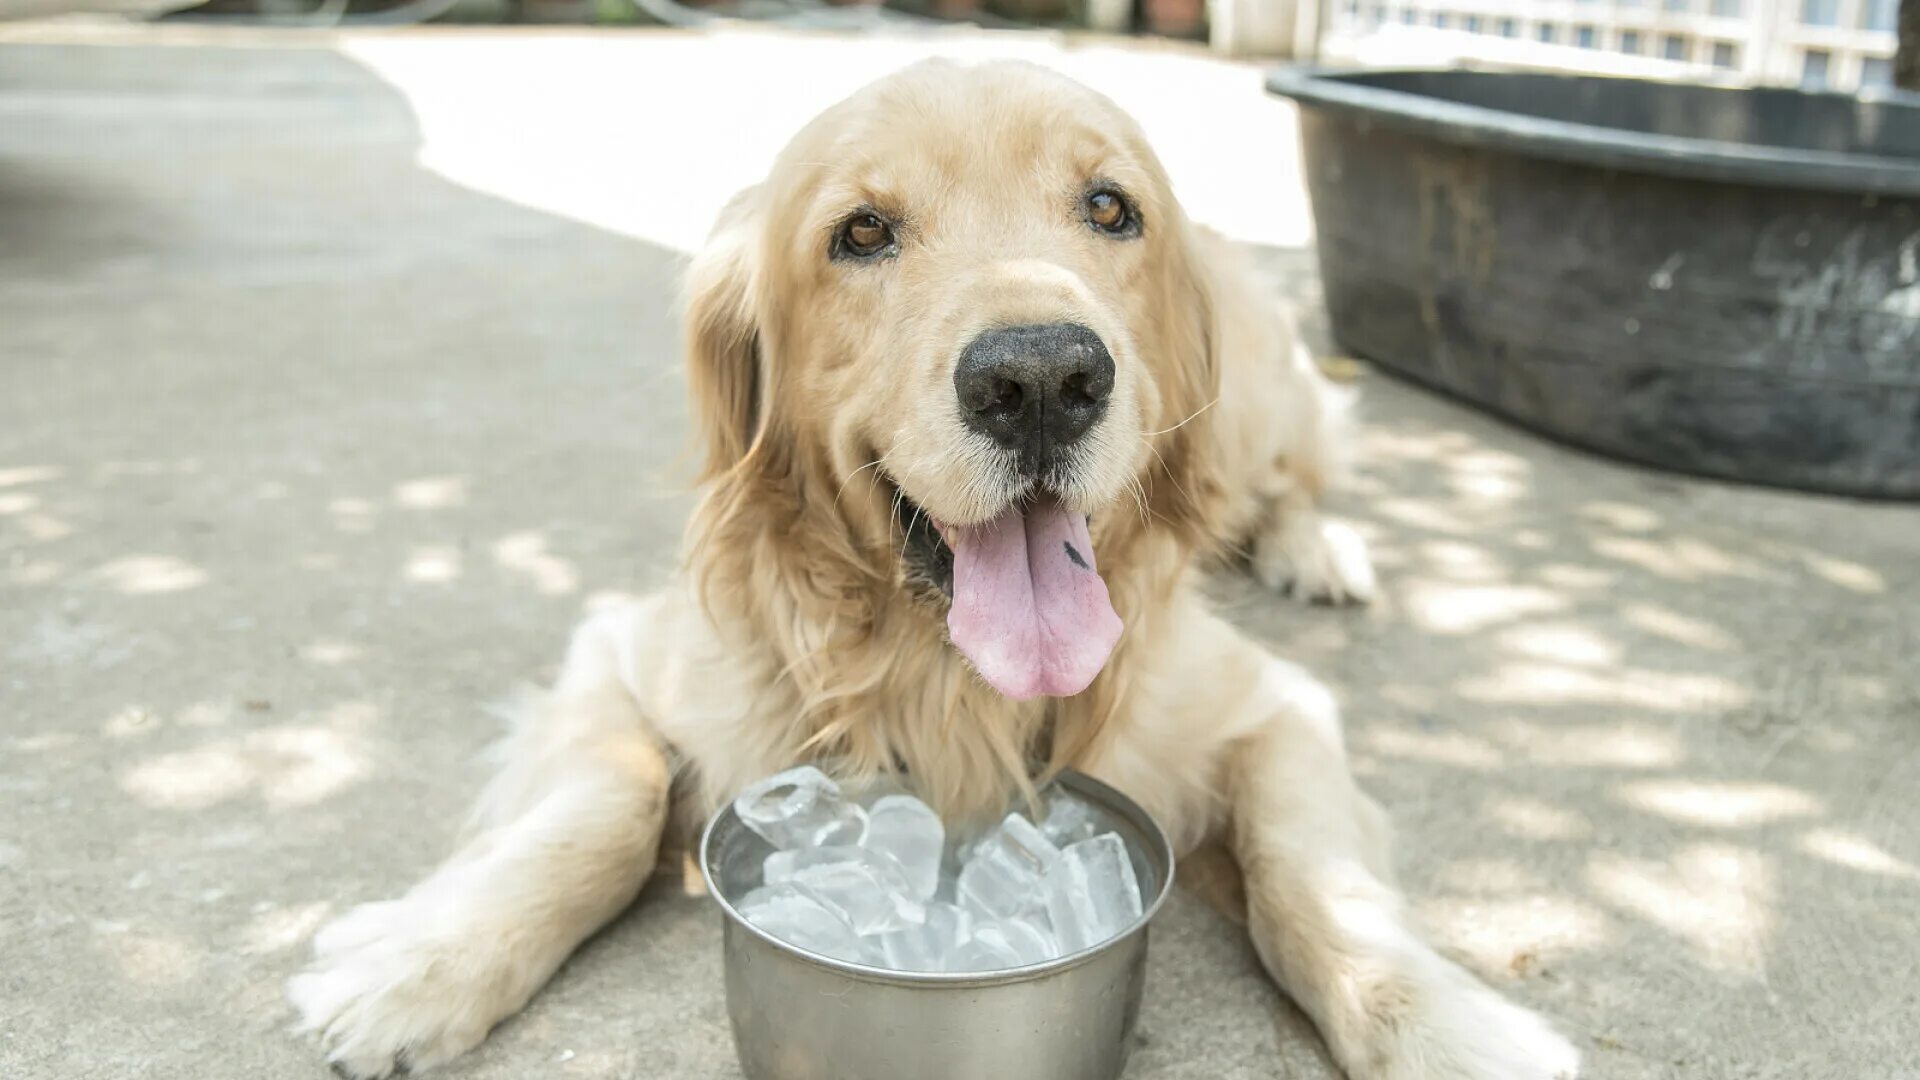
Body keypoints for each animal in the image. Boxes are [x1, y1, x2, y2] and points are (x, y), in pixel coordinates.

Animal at [288, 58, 1574, 1076]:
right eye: (861, 231)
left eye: (1109, 206)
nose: (1043, 379)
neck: (943, 673)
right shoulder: (620, 651)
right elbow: (605, 802)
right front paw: (420, 961)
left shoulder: (1274, 704)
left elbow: (1311, 878)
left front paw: (1443, 1023)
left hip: (1260, 404)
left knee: (1296, 477)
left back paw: (1320, 546)